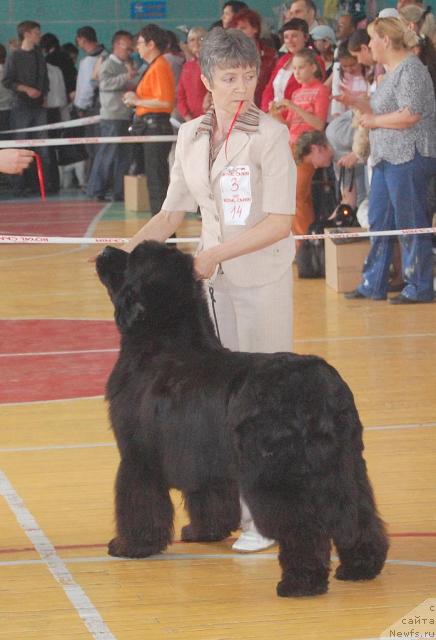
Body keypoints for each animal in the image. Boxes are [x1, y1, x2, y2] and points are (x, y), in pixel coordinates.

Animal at [96, 240, 388, 596]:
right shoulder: (205, 456)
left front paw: (129, 546)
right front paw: (204, 532)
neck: (159, 343)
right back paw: (361, 566)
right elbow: (209, 497)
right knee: (357, 513)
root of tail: (318, 384)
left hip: (278, 475)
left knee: (303, 525)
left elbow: (138, 502)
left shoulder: (138, 455)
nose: (105, 251)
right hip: (343, 466)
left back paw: (300, 582)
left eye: (132, 259)